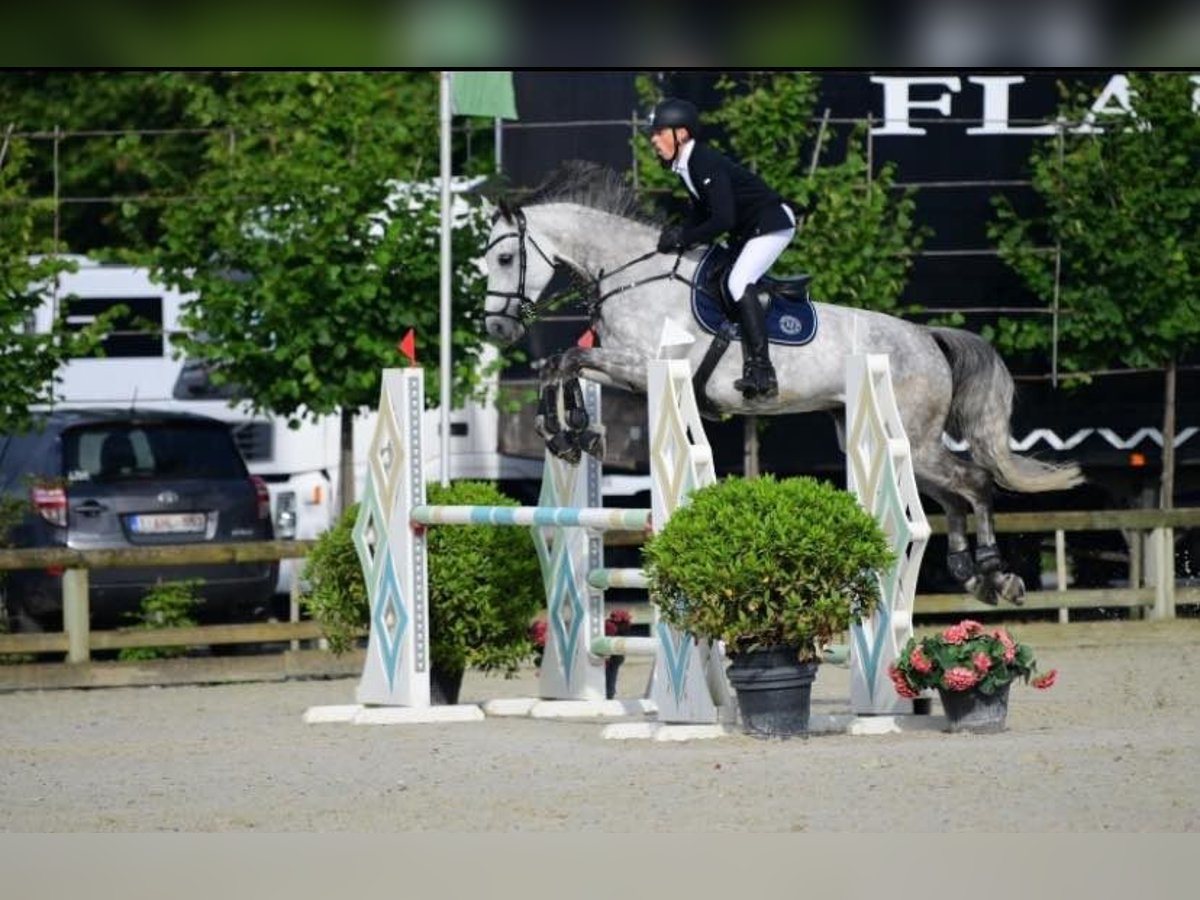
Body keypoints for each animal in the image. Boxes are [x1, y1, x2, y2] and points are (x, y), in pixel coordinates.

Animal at [480, 168, 1089, 607]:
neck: (632, 275)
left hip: (915, 440)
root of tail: (926, 337)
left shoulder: (643, 364)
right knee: (949, 495)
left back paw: (995, 575)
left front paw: (568, 432)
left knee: (976, 483)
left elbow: (567, 357)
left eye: (506, 257)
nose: (499, 329)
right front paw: (569, 433)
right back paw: (968, 571)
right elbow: (560, 364)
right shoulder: (626, 370)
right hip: (897, 442)